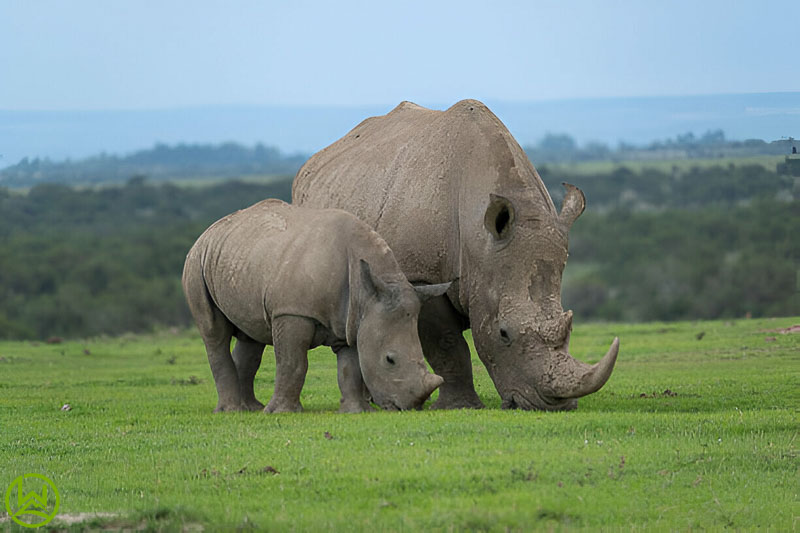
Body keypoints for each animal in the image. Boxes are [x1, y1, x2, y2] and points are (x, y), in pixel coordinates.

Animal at [181, 200, 450, 412]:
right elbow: (293, 363)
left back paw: (251, 409)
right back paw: (232, 411)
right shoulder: (291, 312)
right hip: (196, 261)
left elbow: (350, 367)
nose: (412, 407)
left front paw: (356, 411)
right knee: (215, 333)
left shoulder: (350, 318)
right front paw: (282, 413)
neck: (367, 290)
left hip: (240, 257)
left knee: (251, 336)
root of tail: (209, 230)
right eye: (389, 360)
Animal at [292, 97, 620, 410]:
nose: (555, 405)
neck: (480, 244)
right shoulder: (421, 276)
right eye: (503, 333)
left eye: (570, 329)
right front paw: (461, 405)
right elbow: (447, 343)